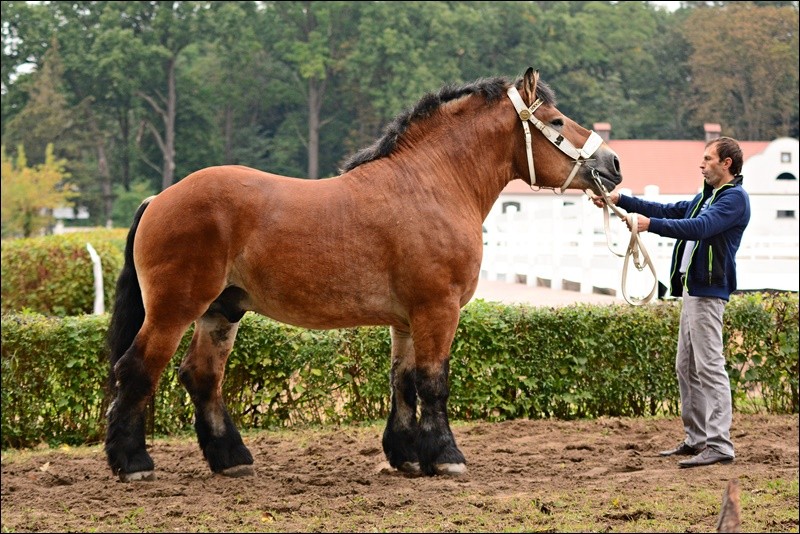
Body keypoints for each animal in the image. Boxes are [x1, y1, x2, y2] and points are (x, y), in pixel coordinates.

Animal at [104, 67, 620, 482]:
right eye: (556, 121)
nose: (612, 165)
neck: (431, 184)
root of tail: (159, 198)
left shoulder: (408, 319)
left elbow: (403, 381)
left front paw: (407, 456)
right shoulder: (438, 309)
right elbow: (433, 382)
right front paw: (446, 457)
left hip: (222, 311)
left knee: (202, 376)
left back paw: (231, 459)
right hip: (174, 309)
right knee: (138, 369)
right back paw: (133, 463)